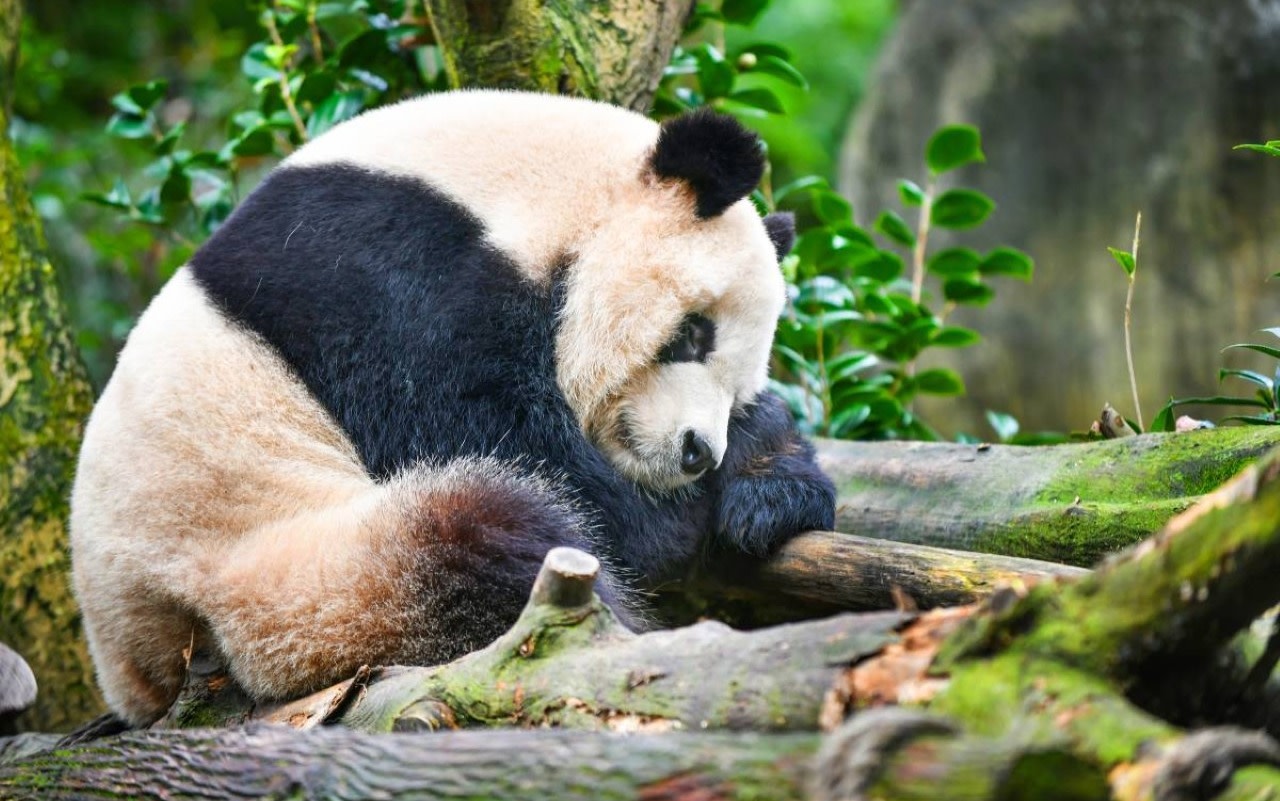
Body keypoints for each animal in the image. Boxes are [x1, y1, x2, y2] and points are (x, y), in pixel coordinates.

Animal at [69, 90, 837, 726]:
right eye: (692, 333)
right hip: (282, 576)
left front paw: (771, 483)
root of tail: (135, 670)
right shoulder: (383, 277)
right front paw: (692, 509)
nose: (695, 451)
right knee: (481, 536)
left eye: (738, 381)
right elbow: (506, 444)